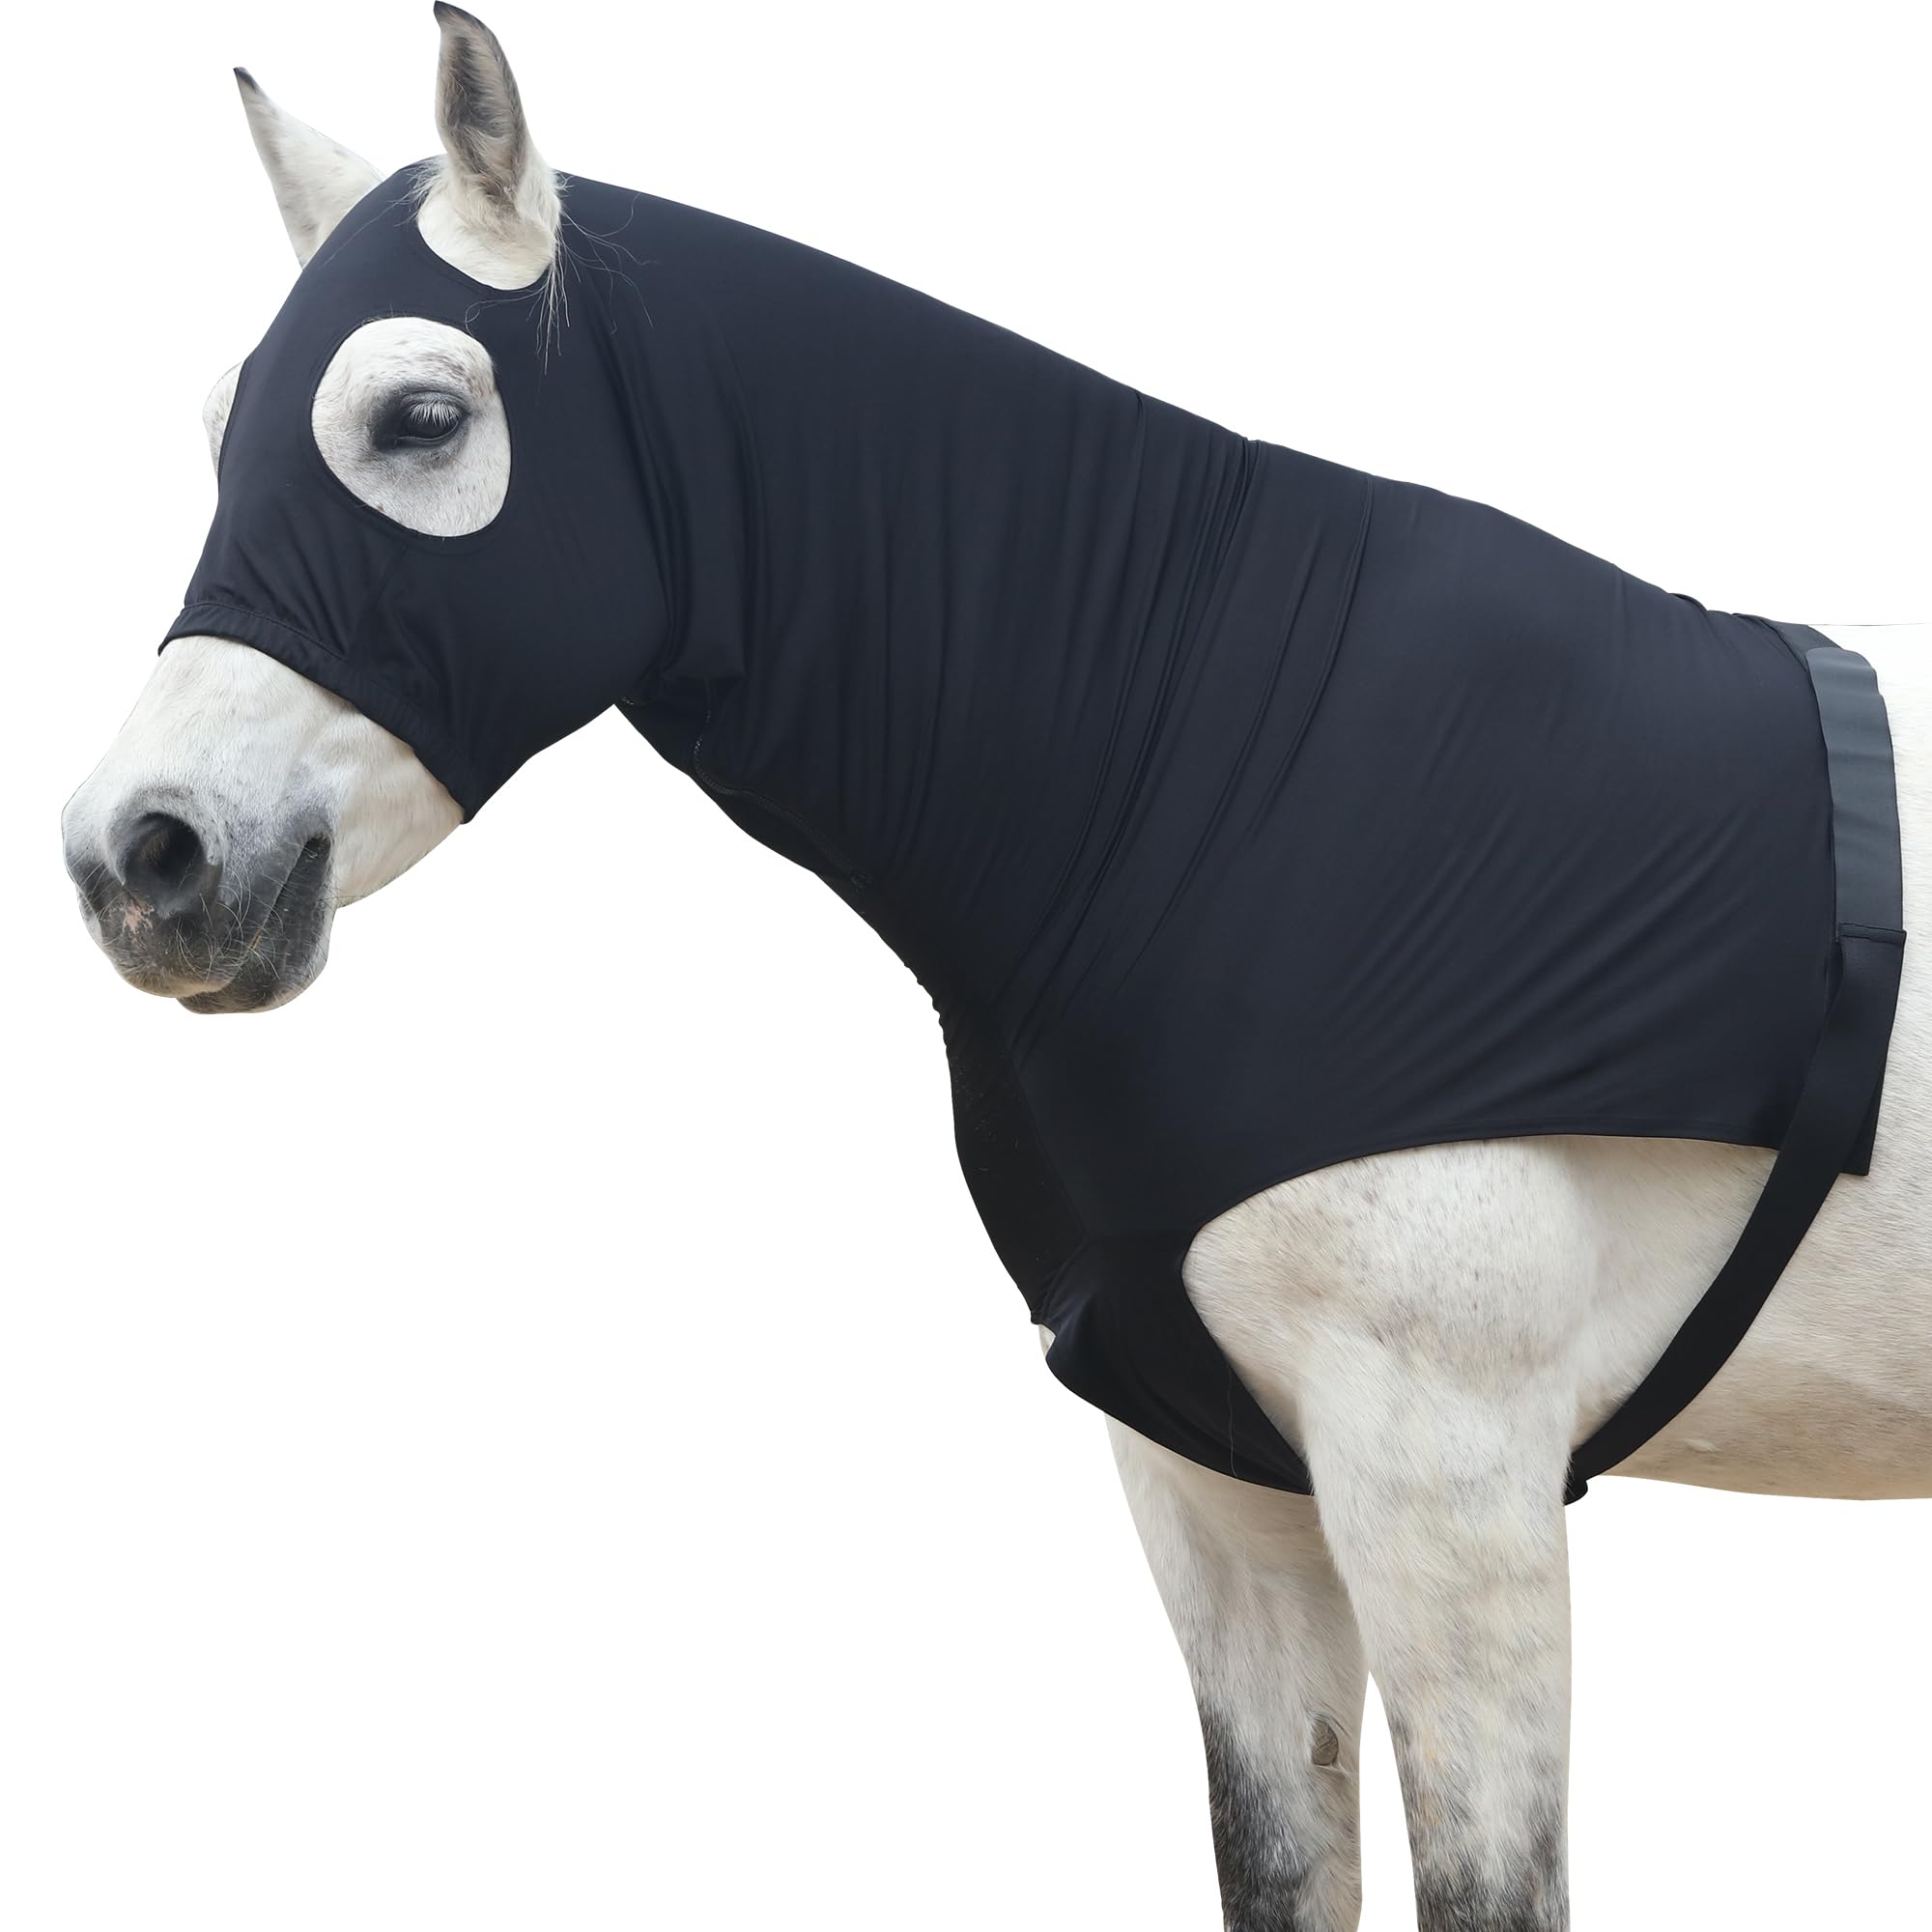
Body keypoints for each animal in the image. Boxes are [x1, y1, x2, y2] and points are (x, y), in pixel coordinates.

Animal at [59, 11, 1931, 1929]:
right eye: (216, 430)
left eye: (417, 420)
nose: (146, 860)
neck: (1218, 778)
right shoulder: (1211, 1480)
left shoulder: (1447, 1479)